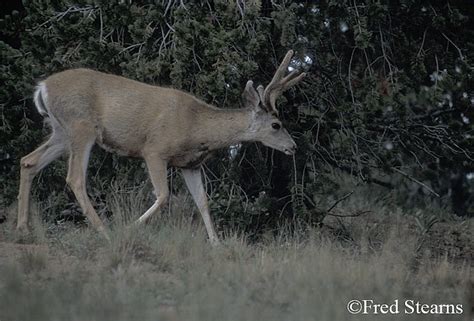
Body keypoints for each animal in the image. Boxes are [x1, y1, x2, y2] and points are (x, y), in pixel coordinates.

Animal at [16, 49, 306, 242]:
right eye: (276, 124)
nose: (293, 147)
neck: (196, 126)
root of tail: (42, 87)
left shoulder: (190, 165)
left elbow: (203, 201)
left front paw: (216, 244)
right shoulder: (154, 150)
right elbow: (164, 195)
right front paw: (130, 228)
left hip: (61, 131)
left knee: (28, 161)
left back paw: (23, 228)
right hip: (81, 126)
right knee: (75, 177)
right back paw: (104, 231)